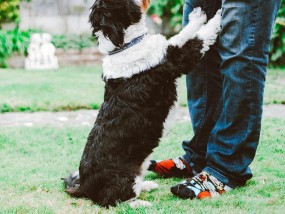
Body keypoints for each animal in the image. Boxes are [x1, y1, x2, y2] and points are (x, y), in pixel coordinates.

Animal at [64, 0, 222, 208]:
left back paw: (146, 186)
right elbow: (198, 38)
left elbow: (184, 33)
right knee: (113, 201)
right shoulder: (176, 58)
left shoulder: (167, 49)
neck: (125, 46)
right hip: (123, 178)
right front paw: (218, 17)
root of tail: (84, 186)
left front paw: (197, 17)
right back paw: (141, 204)